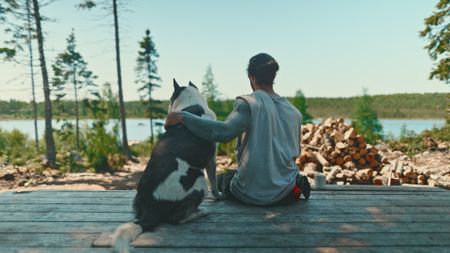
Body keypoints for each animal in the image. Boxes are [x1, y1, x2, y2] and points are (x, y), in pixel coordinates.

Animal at [111, 79, 222, 253]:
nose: (168, 111)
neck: (191, 103)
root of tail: (152, 207)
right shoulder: (212, 159)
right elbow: (215, 182)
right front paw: (218, 196)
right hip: (200, 180)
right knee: (177, 219)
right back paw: (201, 212)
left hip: (137, 202)